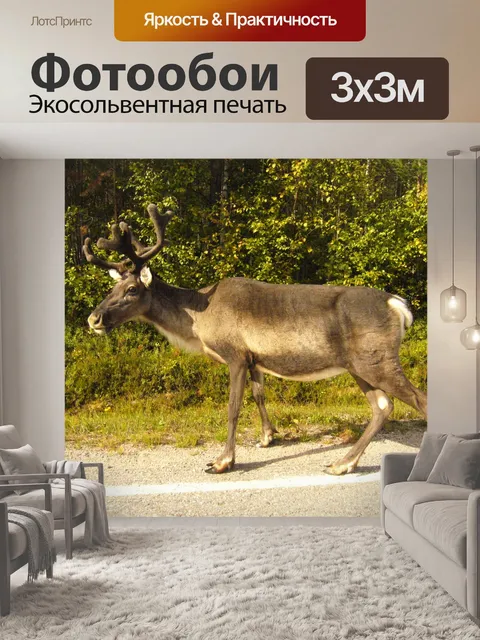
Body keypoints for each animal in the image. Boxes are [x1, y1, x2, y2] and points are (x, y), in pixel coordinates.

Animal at [83, 204, 427, 475]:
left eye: (131, 289)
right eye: (112, 287)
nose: (94, 319)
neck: (196, 322)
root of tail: (398, 305)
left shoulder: (235, 355)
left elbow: (233, 407)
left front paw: (223, 461)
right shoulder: (255, 359)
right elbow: (260, 394)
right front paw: (267, 436)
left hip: (377, 360)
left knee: (418, 399)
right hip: (360, 365)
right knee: (383, 406)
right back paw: (343, 463)